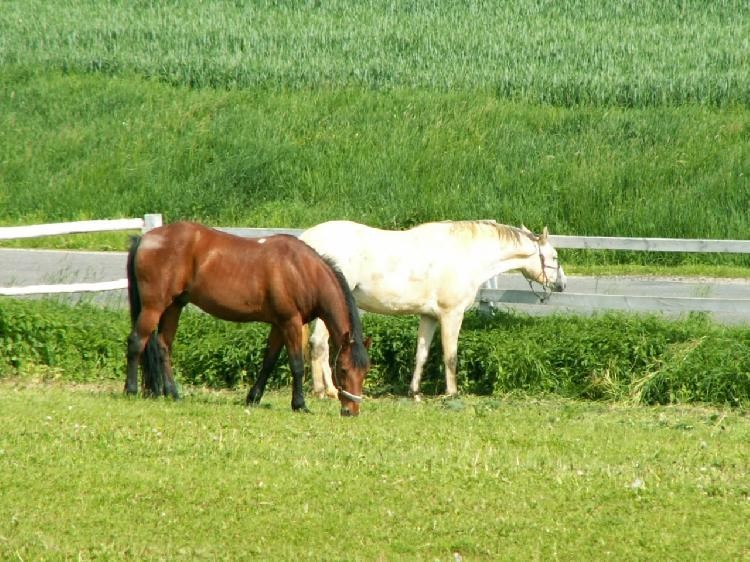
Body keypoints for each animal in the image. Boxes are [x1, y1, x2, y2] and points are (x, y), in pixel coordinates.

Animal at [125, 221, 371, 416]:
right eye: (343, 370)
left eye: (364, 372)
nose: (351, 410)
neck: (301, 270)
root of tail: (145, 238)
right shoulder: (290, 322)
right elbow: (296, 365)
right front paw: (299, 404)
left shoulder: (279, 325)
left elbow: (269, 362)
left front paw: (253, 397)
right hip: (154, 306)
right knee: (136, 341)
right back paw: (131, 390)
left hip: (173, 306)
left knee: (163, 346)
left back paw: (173, 393)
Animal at [299, 220, 566, 400]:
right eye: (554, 257)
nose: (562, 284)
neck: (466, 254)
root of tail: (307, 241)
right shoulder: (451, 315)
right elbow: (450, 355)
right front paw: (452, 393)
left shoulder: (429, 316)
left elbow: (422, 354)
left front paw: (414, 392)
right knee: (320, 344)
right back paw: (327, 391)